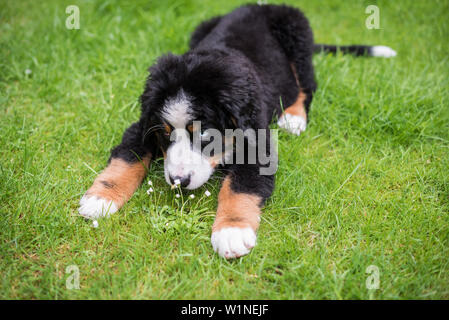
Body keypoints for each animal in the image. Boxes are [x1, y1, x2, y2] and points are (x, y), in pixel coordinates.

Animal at [79, 3, 394, 258]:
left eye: (205, 135)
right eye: (166, 133)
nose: (178, 181)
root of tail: (261, 5)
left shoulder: (258, 144)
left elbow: (239, 187)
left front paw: (231, 232)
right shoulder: (143, 125)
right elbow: (127, 157)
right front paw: (100, 199)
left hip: (299, 40)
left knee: (307, 84)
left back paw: (293, 117)